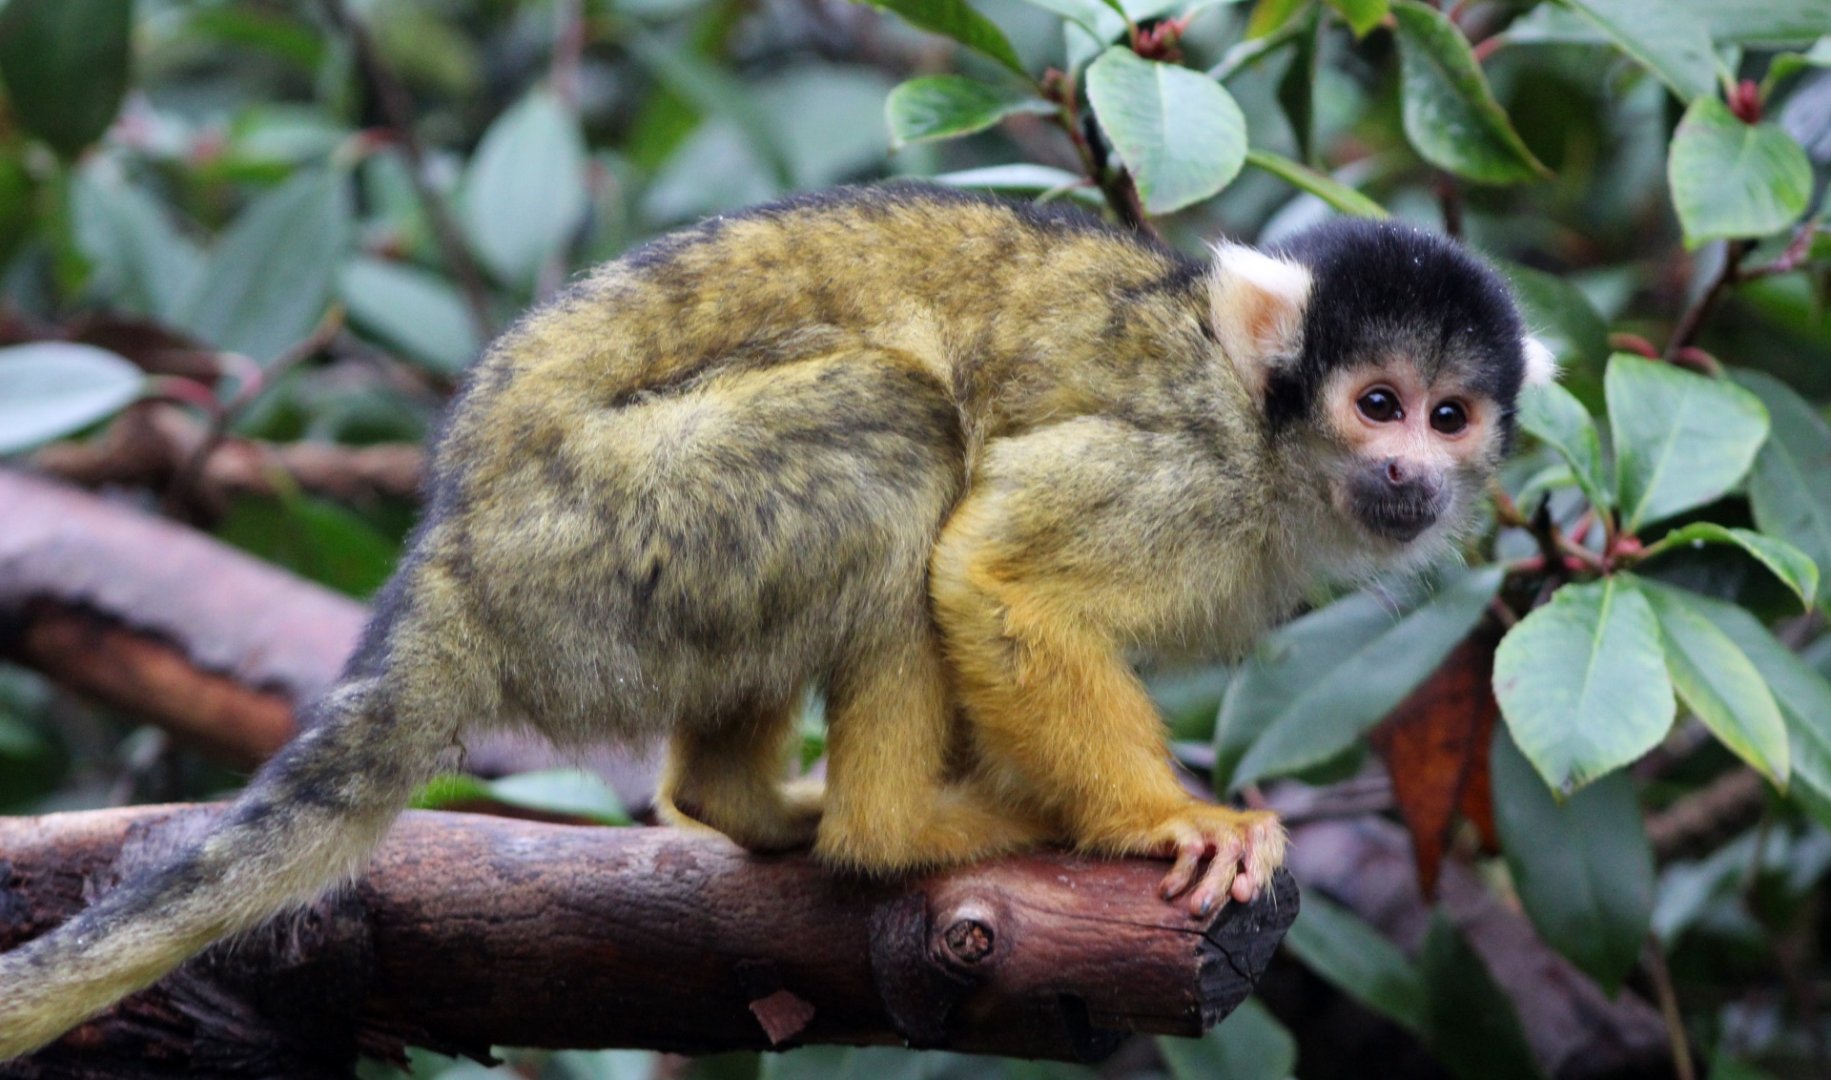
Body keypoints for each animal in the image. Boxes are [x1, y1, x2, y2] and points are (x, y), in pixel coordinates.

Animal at [0, 181, 1555, 1059]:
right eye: (1375, 402)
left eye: (1450, 416)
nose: (1413, 472)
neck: (1258, 431)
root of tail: (453, 563)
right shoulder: (1176, 460)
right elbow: (993, 572)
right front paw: (1166, 822)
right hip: (614, 529)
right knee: (903, 430)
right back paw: (896, 832)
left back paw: (735, 802)